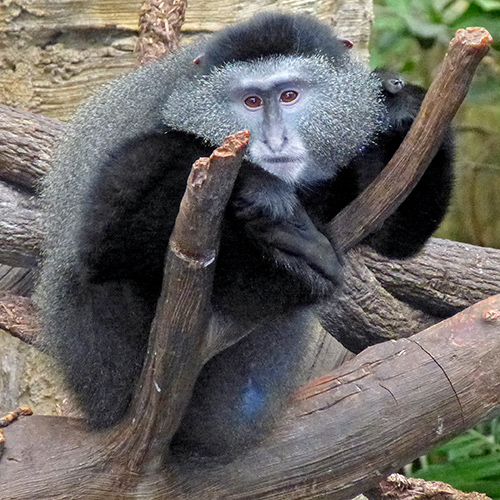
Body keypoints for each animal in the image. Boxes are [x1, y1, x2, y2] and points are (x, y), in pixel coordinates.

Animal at [36, 11, 454, 458]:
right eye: (251, 102)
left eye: (289, 96)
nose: (274, 140)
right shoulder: (160, 120)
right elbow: (102, 239)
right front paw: (260, 192)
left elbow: (396, 236)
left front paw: (401, 103)